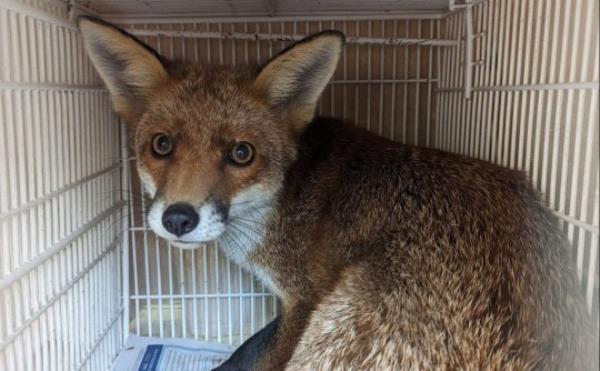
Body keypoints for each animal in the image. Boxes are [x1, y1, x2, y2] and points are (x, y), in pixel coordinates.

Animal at [78, 16, 596, 370]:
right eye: (161, 145)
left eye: (241, 154)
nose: (178, 219)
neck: (283, 200)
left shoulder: (304, 300)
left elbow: (255, 357)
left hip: (333, 323)